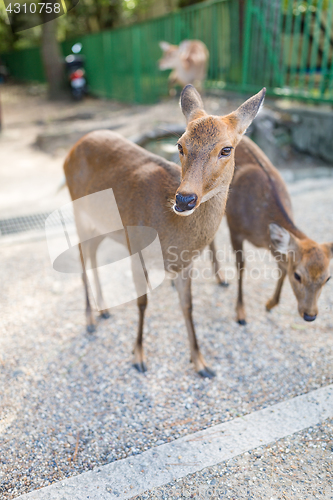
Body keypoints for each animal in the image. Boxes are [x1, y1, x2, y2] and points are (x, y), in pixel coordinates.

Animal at [63, 85, 264, 376]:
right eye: (180, 145)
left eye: (226, 149)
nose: (185, 199)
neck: (171, 235)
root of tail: (72, 149)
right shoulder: (136, 248)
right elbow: (142, 302)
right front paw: (138, 357)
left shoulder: (185, 264)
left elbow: (187, 305)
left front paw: (201, 363)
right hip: (79, 212)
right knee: (81, 255)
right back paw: (90, 319)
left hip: (103, 224)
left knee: (91, 252)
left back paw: (103, 310)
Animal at [209, 135, 330, 326]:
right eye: (297, 276)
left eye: (327, 278)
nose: (310, 315)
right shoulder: (235, 227)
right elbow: (241, 265)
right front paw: (241, 314)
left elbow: (282, 265)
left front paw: (269, 304)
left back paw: (221, 279)